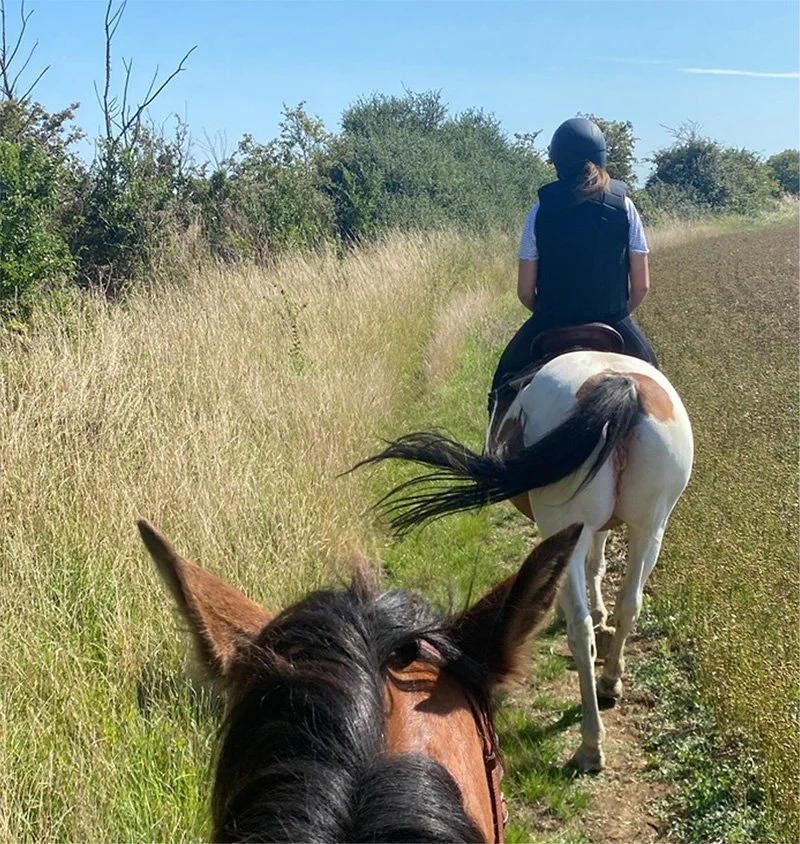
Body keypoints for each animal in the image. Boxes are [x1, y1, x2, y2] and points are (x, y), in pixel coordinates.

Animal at [355, 349, 693, 772]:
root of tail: (619, 384)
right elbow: (597, 565)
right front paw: (601, 616)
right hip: (652, 524)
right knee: (630, 605)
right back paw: (610, 681)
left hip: (567, 518)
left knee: (580, 630)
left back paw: (590, 742)